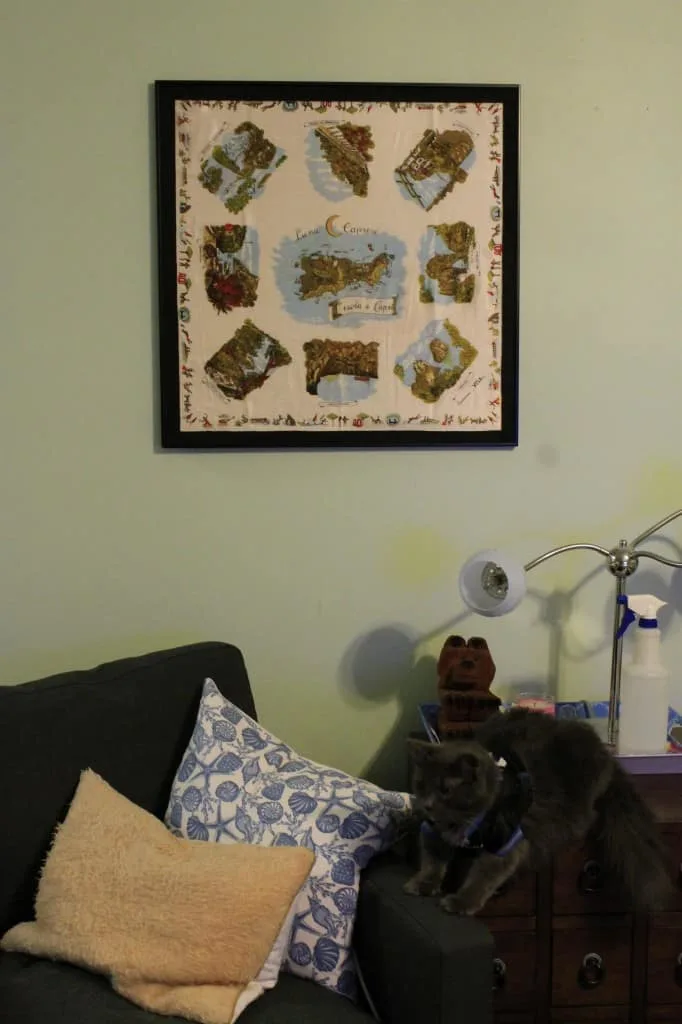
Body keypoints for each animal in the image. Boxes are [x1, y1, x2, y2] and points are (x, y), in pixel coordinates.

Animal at [403, 708, 667, 917]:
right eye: (420, 785)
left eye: (446, 789)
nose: (426, 805)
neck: (466, 825)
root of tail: (609, 756)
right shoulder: (432, 832)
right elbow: (431, 861)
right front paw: (421, 883)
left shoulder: (506, 841)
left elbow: (482, 876)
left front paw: (461, 902)